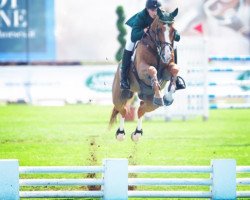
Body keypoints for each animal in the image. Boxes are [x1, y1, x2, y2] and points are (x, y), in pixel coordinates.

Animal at [110, 8, 182, 141]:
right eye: (159, 29)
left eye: (174, 31)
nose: (166, 56)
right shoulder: (142, 69)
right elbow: (152, 70)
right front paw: (160, 95)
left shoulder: (167, 70)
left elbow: (175, 70)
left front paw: (169, 97)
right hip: (119, 96)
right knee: (123, 109)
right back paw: (121, 133)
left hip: (150, 102)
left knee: (141, 109)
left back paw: (137, 133)